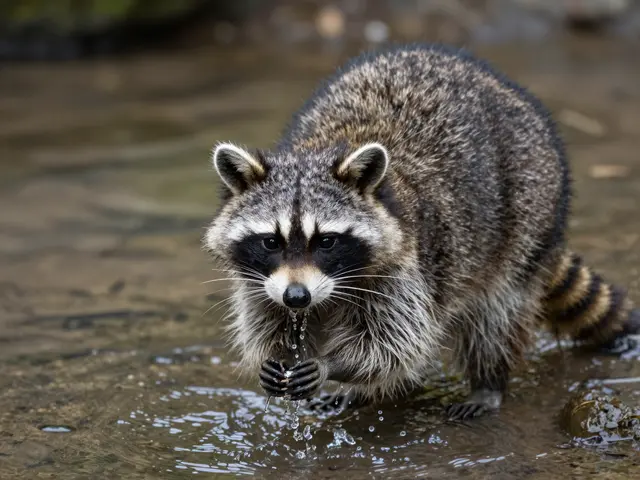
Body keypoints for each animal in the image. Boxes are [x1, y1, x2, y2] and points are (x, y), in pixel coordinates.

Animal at [203, 43, 640, 420]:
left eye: (326, 241)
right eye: (270, 241)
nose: (297, 297)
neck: (319, 150)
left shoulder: (405, 266)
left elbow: (398, 342)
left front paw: (333, 365)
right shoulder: (260, 280)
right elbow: (265, 320)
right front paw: (277, 355)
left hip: (528, 212)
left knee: (496, 314)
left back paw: (487, 382)